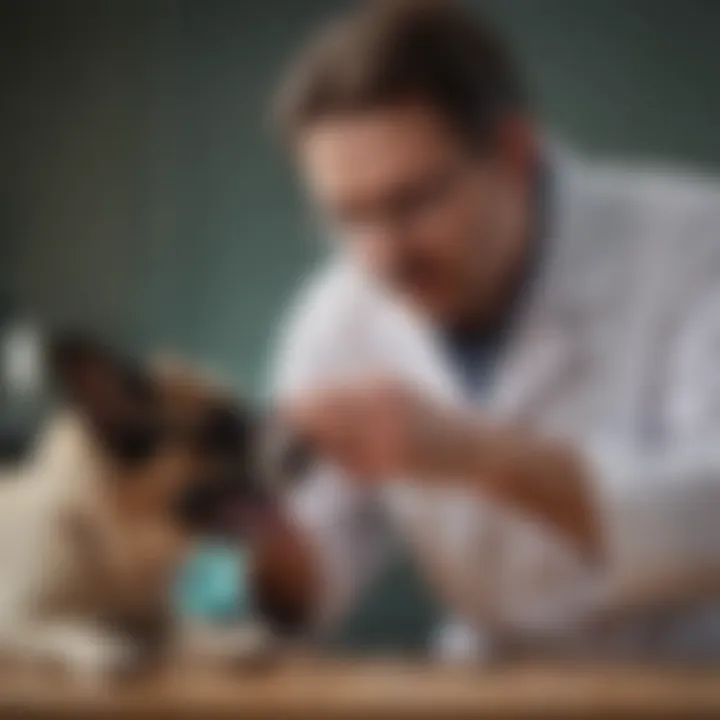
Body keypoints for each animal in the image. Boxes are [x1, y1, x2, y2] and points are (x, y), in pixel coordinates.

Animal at [0, 332, 296, 680]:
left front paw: (224, 638)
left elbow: (182, 626)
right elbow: (52, 624)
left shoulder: (156, 619)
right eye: (223, 432)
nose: (302, 449)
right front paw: (97, 642)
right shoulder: (14, 616)